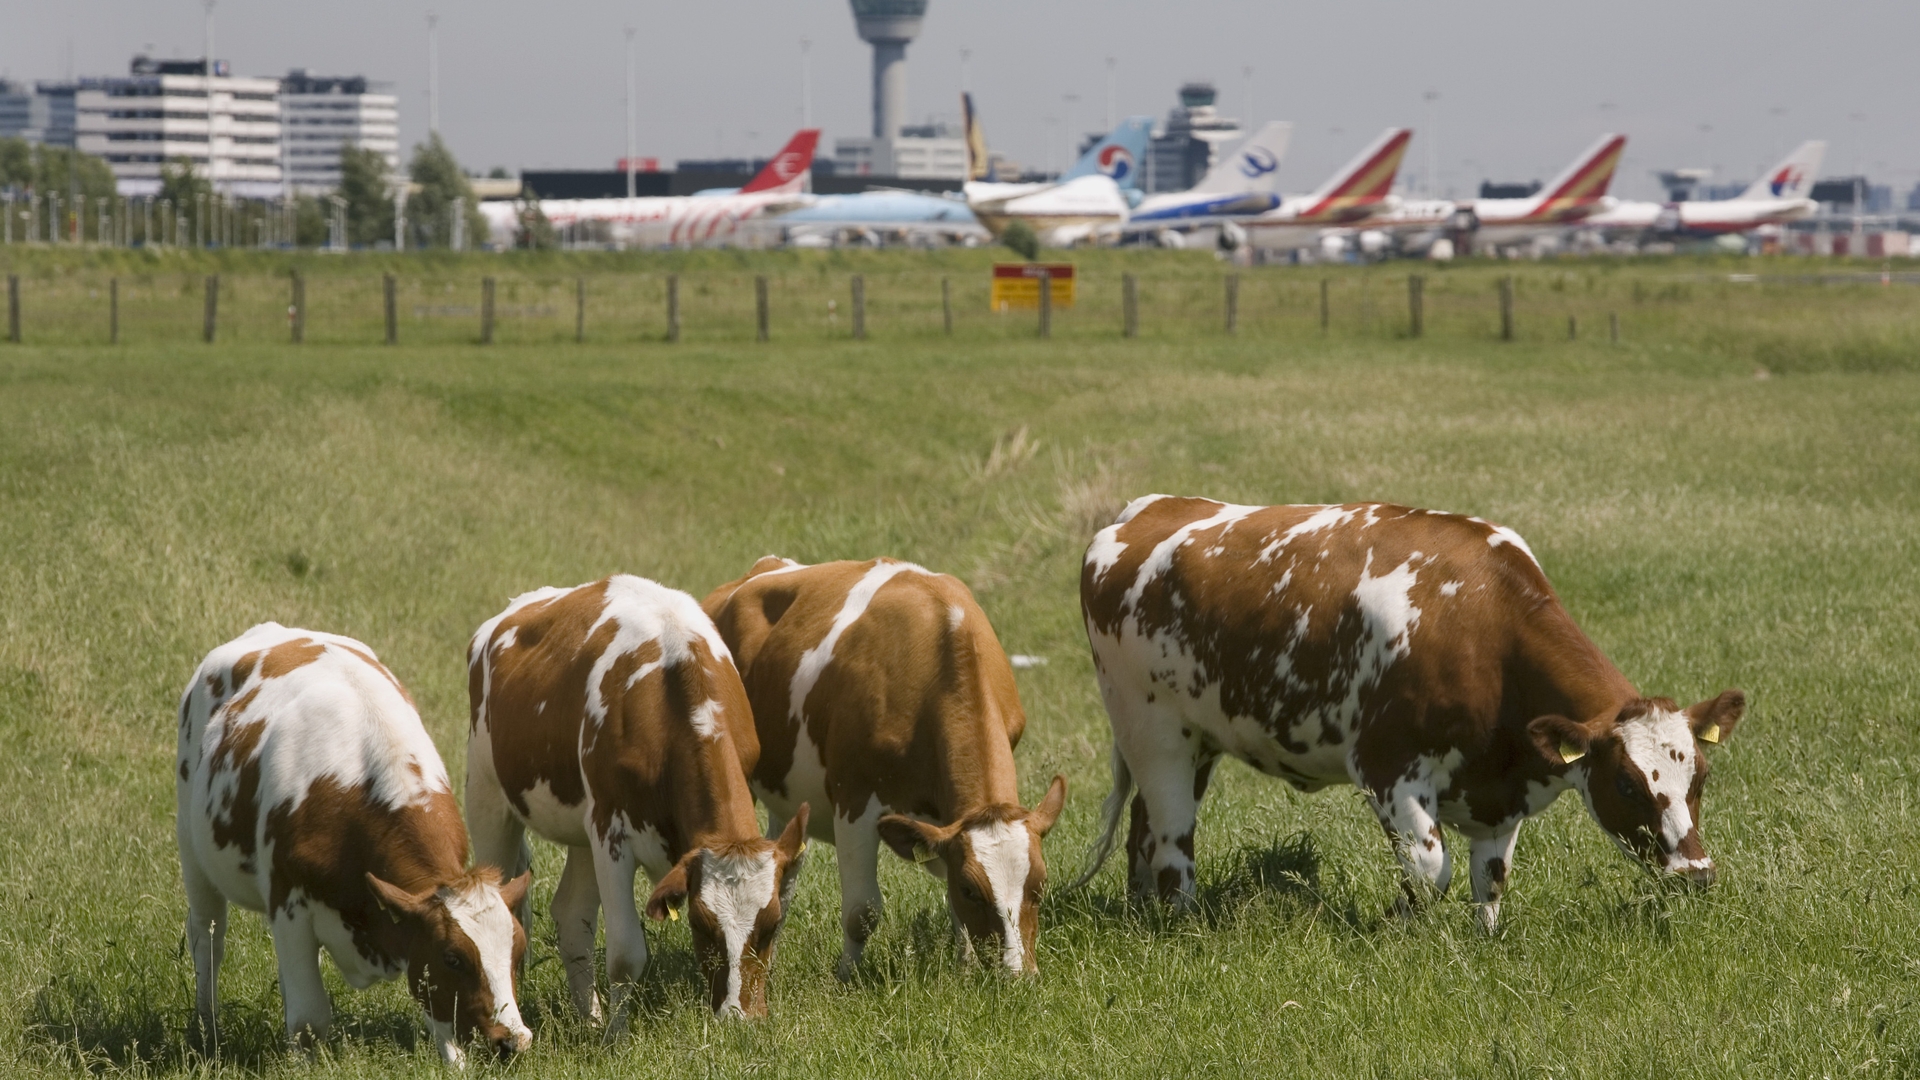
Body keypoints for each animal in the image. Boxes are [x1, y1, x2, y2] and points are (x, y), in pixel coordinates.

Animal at [177, 622, 533, 1060]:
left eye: (517, 951)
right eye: (453, 958)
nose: (513, 1040)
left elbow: (441, 1019)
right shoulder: (288, 904)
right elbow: (309, 1019)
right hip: (191, 848)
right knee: (207, 937)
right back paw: (207, 1030)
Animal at [464, 572, 810, 1014]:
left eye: (770, 925)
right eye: (701, 924)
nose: (738, 1015)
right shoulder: (610, 832)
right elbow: (626, 954)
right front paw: (618, 1033)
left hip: (581, 828)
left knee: (572, 915)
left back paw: (590, 1017)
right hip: (486, 798)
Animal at [706, 557, 1067, 972]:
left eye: (1040, 884)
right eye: (971, 890)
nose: (1018, 974)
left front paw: (965, 965)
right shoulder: (854, 799)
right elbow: (861, 911)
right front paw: (847, 975)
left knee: (786, 870)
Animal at [1075, 495, 1751, 926]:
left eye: (1701, 778)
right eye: (1627, 784)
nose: (1697, 872)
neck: (1485, 626)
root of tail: (1147, 510)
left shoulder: (1499, 791)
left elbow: (1490, 877)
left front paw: (1483, 943)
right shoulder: (1387, 766)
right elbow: (1430, 868)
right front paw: (1395, 932)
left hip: (1195, 740)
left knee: (1141, 828)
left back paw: (1142, 911)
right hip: (1153, 731)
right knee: (1171, 843)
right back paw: (1180, 923)